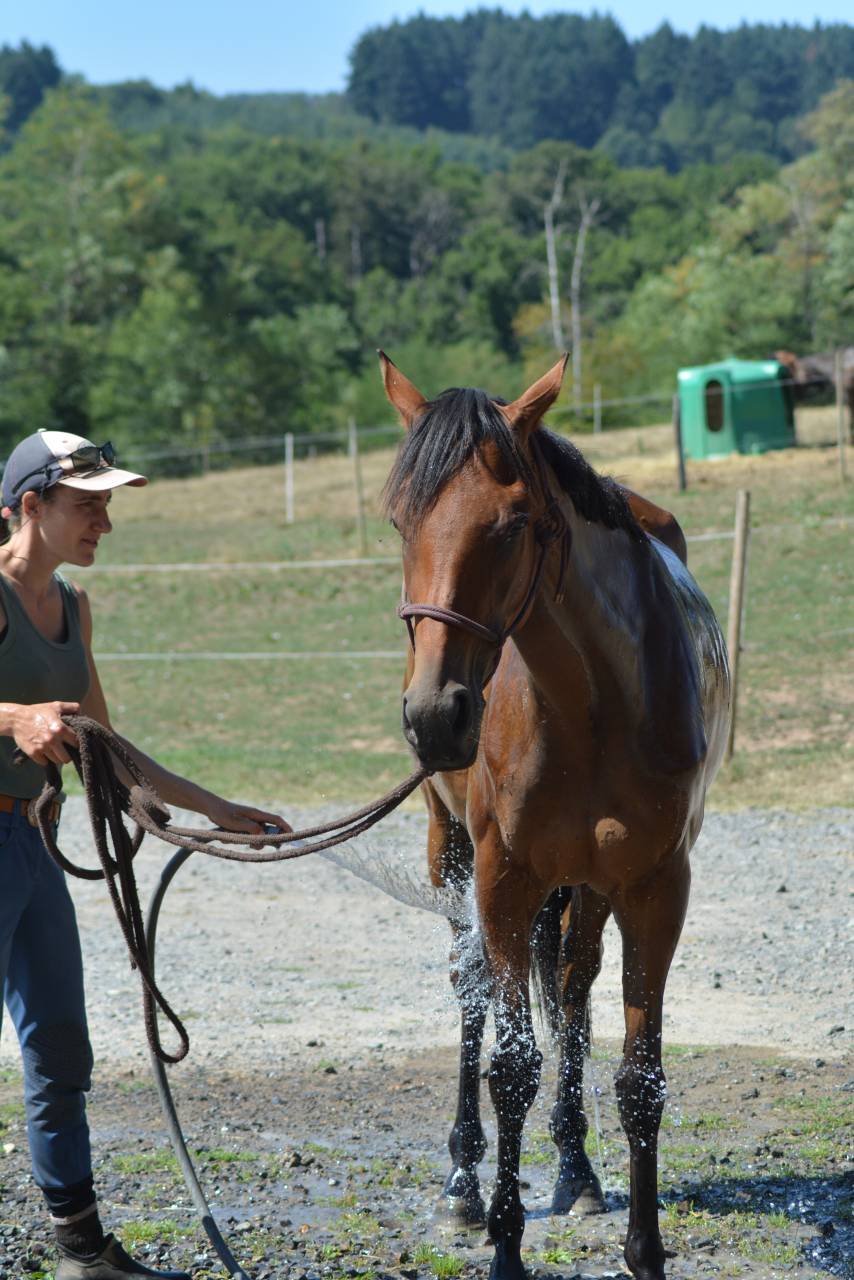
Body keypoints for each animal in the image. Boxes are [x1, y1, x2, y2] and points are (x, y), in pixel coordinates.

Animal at [379, 353, 731, 1280]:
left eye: (512, 525)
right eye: (399, 523)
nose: (436, 717)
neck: (592, 704)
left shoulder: (655, 886)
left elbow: (638, 1077)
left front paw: (644, 1250)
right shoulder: (503, 879)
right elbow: (510, 1067)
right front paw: (504, 1244)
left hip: (589, 889)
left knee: (572, 989)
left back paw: (575, 1168)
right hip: (450, 852)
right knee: (471, 993)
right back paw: (462, 1185)